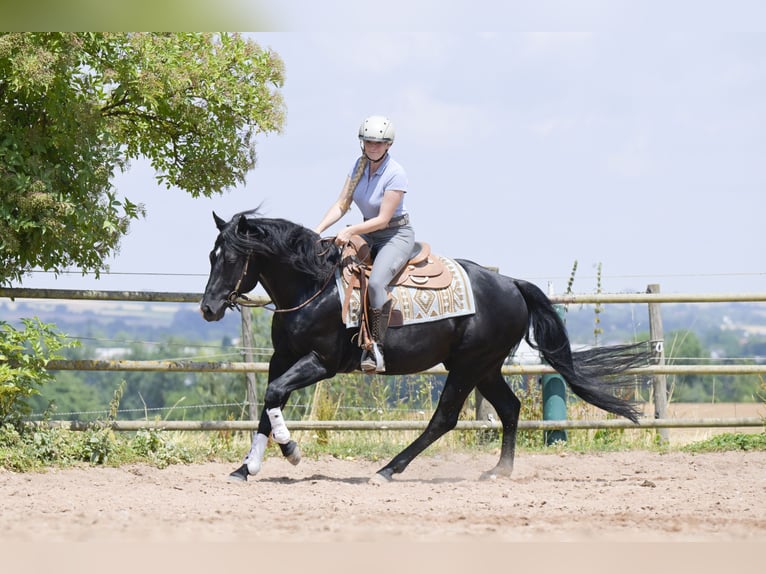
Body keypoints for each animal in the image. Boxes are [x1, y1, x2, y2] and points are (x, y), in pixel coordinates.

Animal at [200, 209, 650, 483]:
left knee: (444, 419)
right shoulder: (283, 358)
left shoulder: (320, 362)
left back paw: (388, 469)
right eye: (211, 255)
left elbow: (274, 395)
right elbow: (267, 403)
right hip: (485, 368)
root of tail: (511, 284)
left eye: (231, 258)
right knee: (509, 408)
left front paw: (290, 450)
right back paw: (499, 471)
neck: (315, 286)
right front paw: (246, 467)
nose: (208, 308)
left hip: (468, 367)